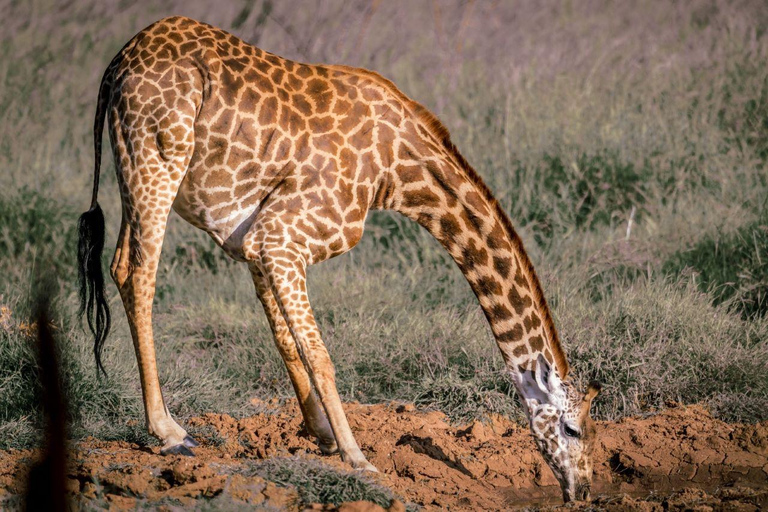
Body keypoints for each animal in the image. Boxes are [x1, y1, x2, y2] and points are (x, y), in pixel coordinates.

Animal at [78, 17, 604, 504]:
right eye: (573, 428)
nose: (583, 489)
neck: (395, 170)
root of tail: (117, 63)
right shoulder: (282, 237)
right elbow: (320, 354)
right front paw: (358, 457)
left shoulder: (254, 241)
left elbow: (286, 342)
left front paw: (322, 434)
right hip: (158, 160)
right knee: (138, 273)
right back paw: (170, 433)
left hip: (134, 170)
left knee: (121, 265)